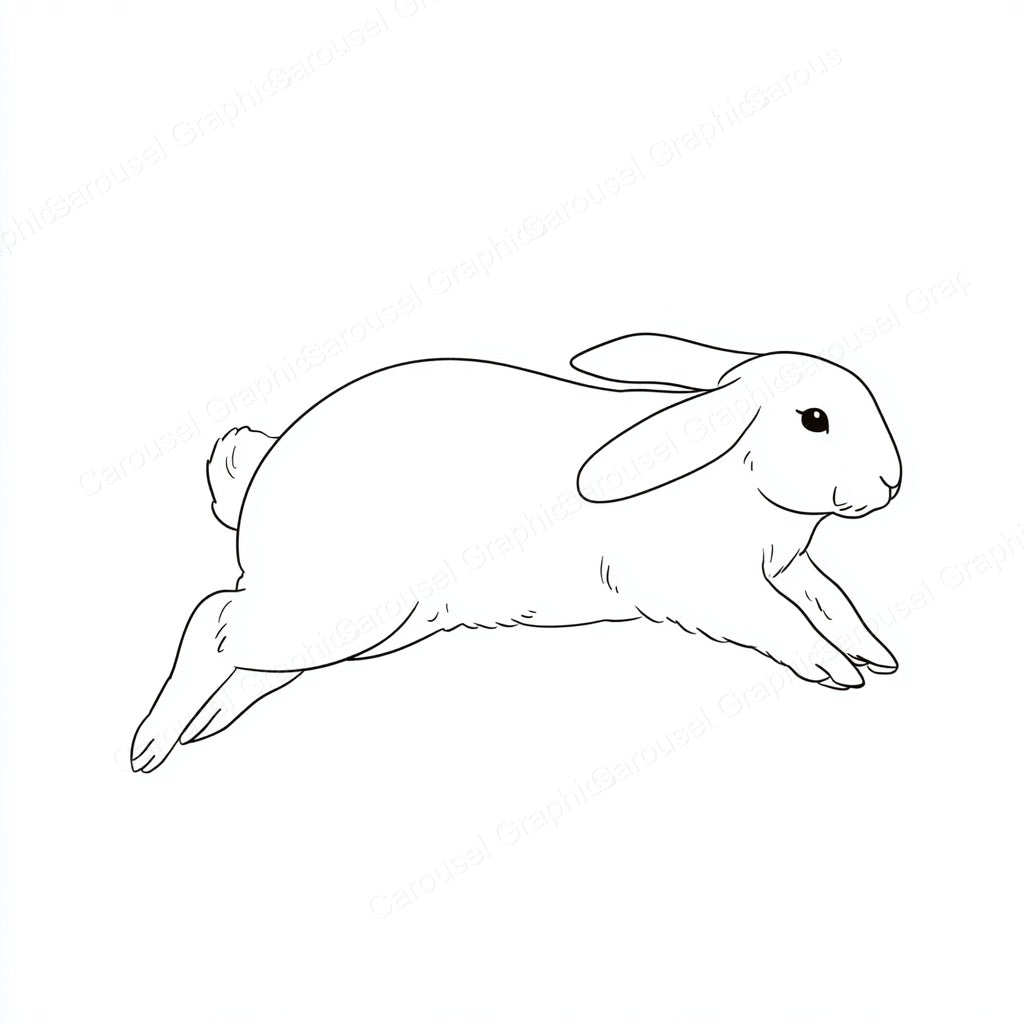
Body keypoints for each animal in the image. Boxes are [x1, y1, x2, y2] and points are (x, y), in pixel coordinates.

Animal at [130, 333, 902, 773]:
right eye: (814, 420)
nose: (892, 482)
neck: (735, 467)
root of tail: (255, 489)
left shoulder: (788, 568)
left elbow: (833, 600)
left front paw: (877, 655)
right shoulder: (713, 588)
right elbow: (785, 623)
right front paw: (836, 670)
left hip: (366, 630)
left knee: (249, 663)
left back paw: (205, 727)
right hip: (334, 612)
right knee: (214, 619)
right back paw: (151, 746)